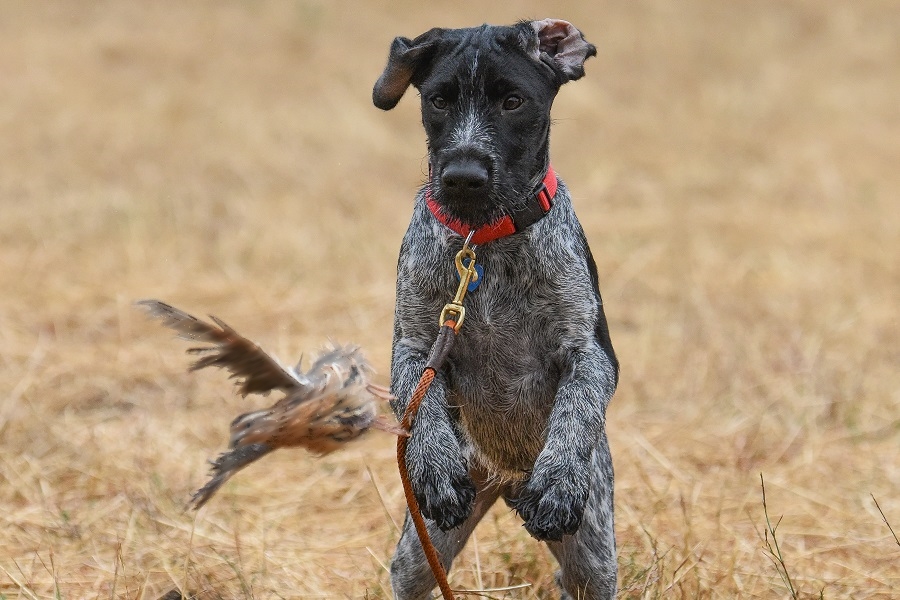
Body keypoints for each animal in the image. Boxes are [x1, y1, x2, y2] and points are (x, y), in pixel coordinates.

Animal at [372, 18, 620, 600]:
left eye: (513, 102)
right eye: (439, 100)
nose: (462, 175)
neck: (484, 240)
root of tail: (506, 478)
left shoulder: (591, 351)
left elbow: (576, 407)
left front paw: (557, 482)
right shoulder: (414, 344)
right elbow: (420, 403)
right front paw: (436, 465)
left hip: (593, 554)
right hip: (422, 547)